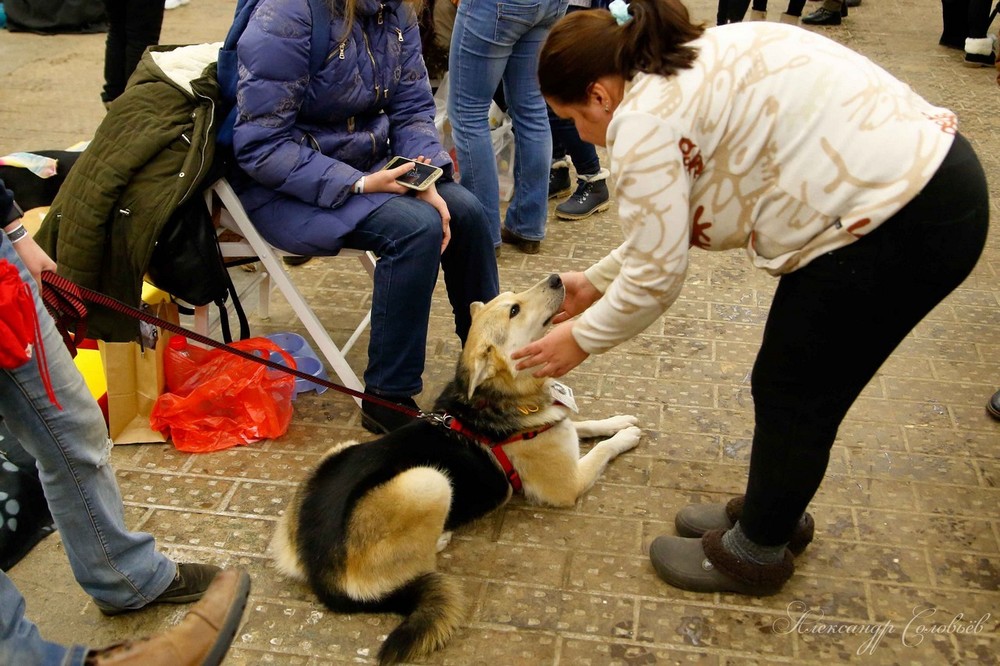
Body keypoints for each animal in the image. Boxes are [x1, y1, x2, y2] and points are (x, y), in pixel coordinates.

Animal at [270, 272, 640, 660]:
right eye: (514, 309)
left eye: (513, 297)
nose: (556, 277)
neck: (505, 396)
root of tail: (321, 575)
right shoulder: (567, 483)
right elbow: (601, 450)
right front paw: (626, 436)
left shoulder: (561, 428)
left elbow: (586, 425)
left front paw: (619, 420)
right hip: (428, 481)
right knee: (418, 563)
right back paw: (442, 537)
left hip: (339, 452)